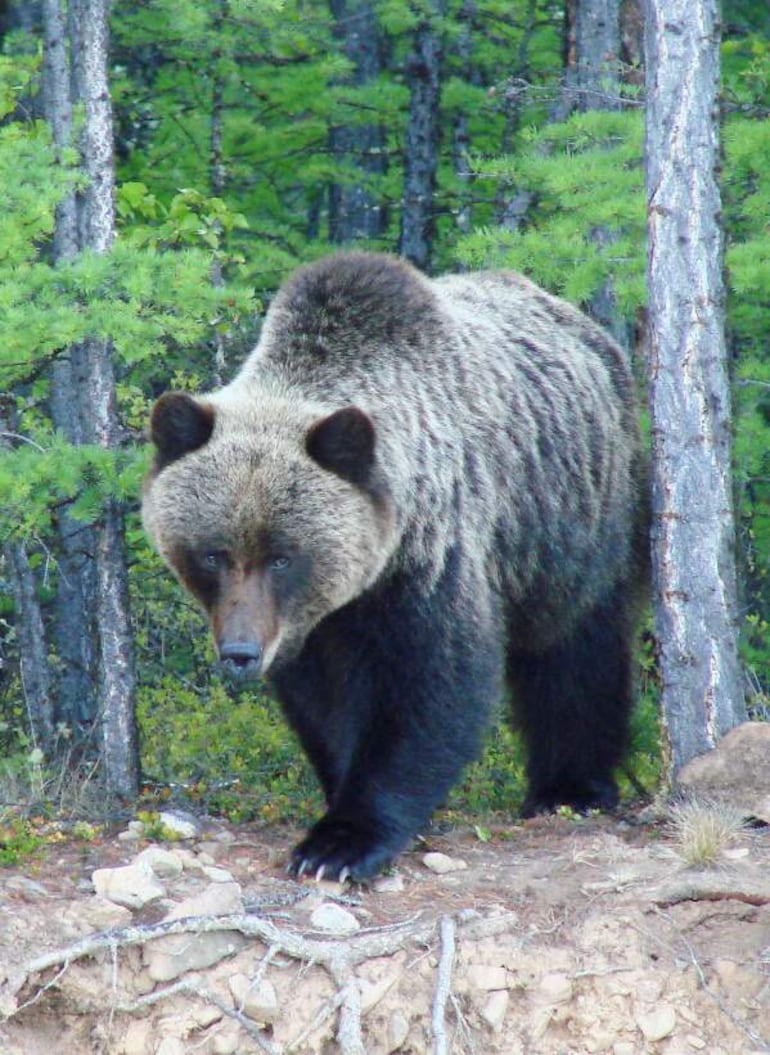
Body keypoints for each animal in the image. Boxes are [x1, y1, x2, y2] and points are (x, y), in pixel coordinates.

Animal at [142, 251, 648, 882]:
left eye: (282, 555)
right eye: (214, 553)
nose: (240, 652)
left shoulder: (428, 558)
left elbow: (430, 688)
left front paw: (339, 844)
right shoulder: (315, 624)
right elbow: (324, 704)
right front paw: (337, 797)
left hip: (576, 520)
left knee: (577, 650)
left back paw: (571, 787)